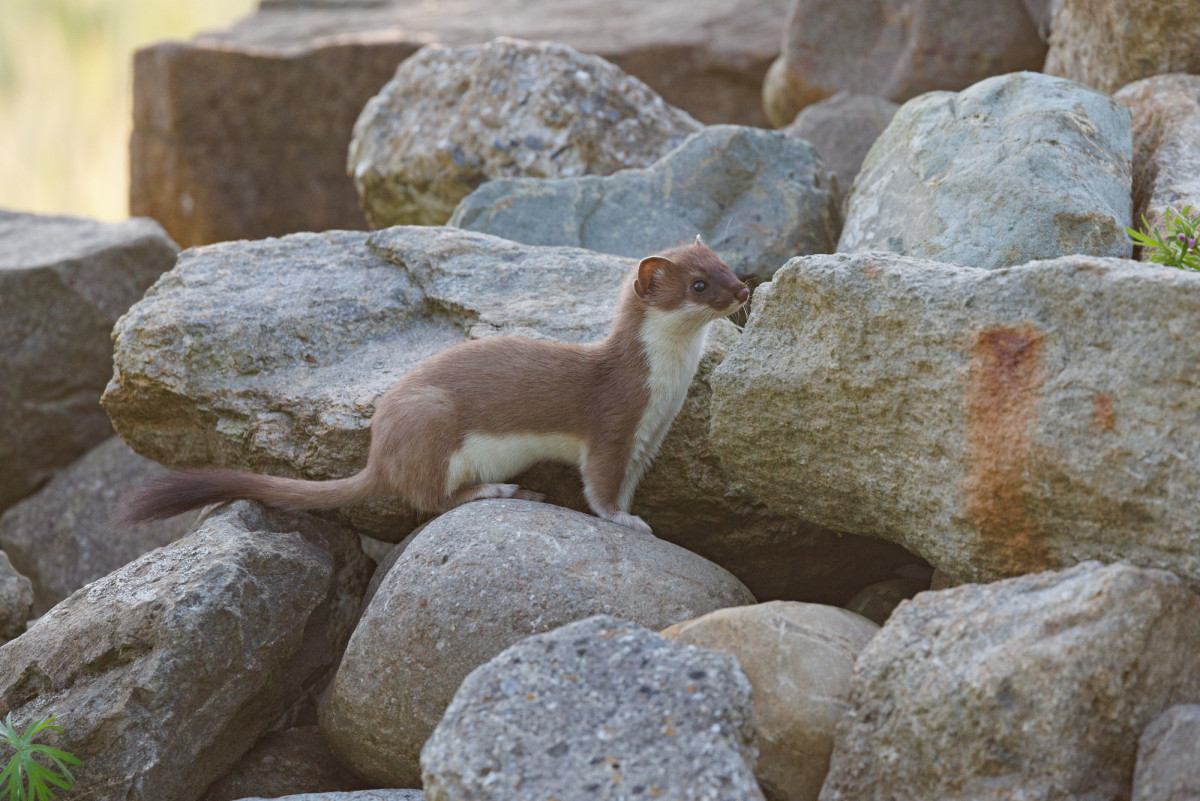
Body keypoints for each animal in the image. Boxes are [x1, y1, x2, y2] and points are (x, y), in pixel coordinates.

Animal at [119, 235, 739, 532]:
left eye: (727, 264)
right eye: (699, 283)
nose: (743, 289)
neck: (664, 392)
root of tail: (379, 449)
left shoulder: (649, 439)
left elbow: (628, 483)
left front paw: (638, 514)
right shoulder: (613, 423)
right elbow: (601, 488)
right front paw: (627, 522)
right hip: (433, 418)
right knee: (429, 499)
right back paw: (500, 490)